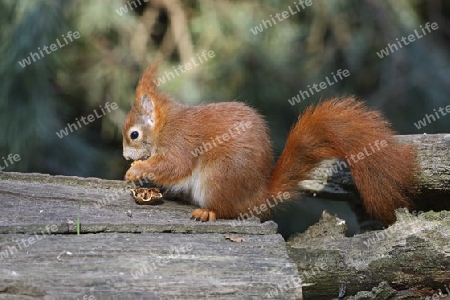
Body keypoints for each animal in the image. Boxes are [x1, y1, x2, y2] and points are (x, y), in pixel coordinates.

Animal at [121, 65, 416, 225]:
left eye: (133, 134)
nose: (125, 156)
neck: (164, 127)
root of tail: (258, 196)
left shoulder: (179, 142)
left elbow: (174, 165)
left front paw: (136, 170)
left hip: (218, 177)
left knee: (228, 211)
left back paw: (207, 211)